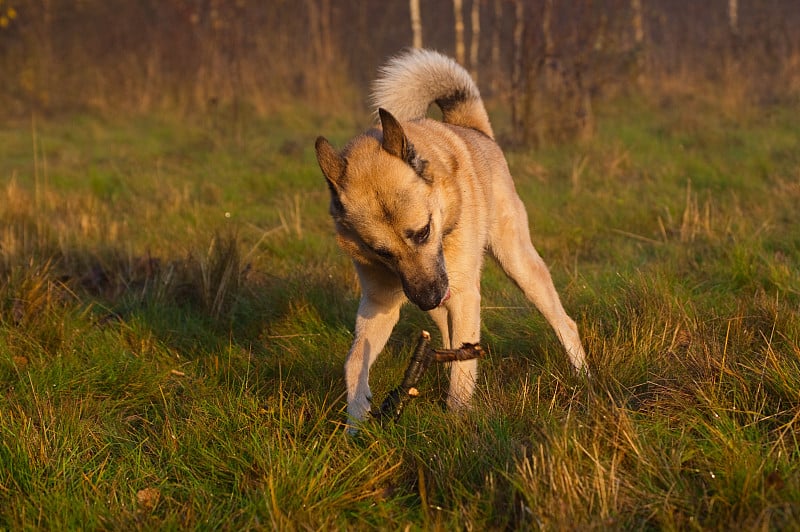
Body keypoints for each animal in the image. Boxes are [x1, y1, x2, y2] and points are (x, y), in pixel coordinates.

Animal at [314, 47, 588, 426]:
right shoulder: (380, 303)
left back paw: (583, 377)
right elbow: (355, 359)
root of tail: (474, 130)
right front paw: (356, 418)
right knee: (445, 333)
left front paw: (458, 415)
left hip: (518, 265)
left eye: (423, 232)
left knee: (565, 323)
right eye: (381, 252)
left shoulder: (462, 294)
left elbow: (464, 360)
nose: (428, 297)